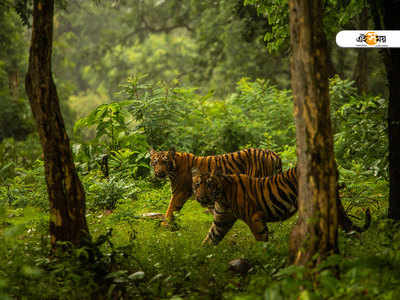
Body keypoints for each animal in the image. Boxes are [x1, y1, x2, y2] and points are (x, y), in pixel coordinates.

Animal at [148, 148, 282, 223]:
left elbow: (170, 210)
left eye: (164, 162)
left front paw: (165, 226)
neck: (173, 169)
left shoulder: (179, 192)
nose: (158, 172)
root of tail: (273, 154)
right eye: (155, 162)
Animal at [192, 168, 370, 245]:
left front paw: (264, 252)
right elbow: (211, 237)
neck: (221, 197)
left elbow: (261, 238)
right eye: (197, 184)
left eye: (209, 185)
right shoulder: (221, 220)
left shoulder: (254, 217)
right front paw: (200, 253)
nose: (201, 197)